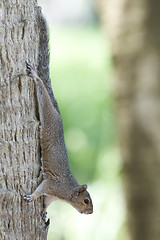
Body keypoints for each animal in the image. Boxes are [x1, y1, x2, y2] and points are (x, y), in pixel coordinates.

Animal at [24, 62, 93, 219]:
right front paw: (31, 197)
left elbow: (46, 201)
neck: (68, 193)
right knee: (44, 98)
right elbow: (41, 190)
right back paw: (36, 77)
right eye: (86, 201)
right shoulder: (53, 185)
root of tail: (59, 117)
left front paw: (44, 211)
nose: (91, 212)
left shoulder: (52, 196)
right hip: (49, 117)